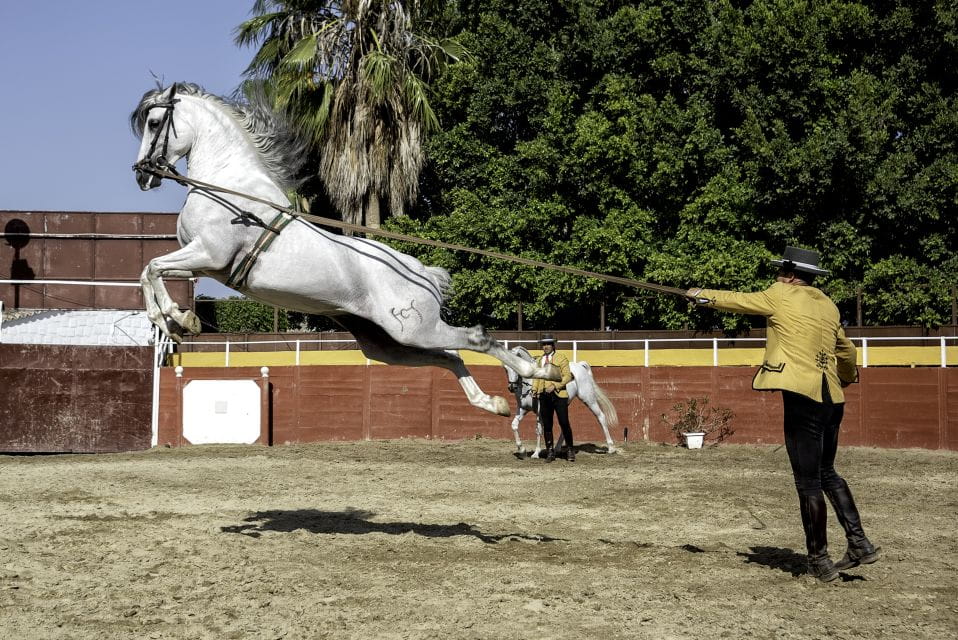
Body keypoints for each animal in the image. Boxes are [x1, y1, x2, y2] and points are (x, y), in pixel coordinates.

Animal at [130, 82, 559, 416]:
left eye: (154, 123)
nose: (142, 175)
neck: (228, 189)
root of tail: (423, 274)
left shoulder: (209, 254)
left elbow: (151, 268)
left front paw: (179, 319)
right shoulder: (203, 265)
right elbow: (149, 271)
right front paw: (175, 320)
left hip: (414, 329)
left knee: (476, 339)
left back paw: (540, 372)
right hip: (390, 344)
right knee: (450, 356)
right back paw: (493, 402)